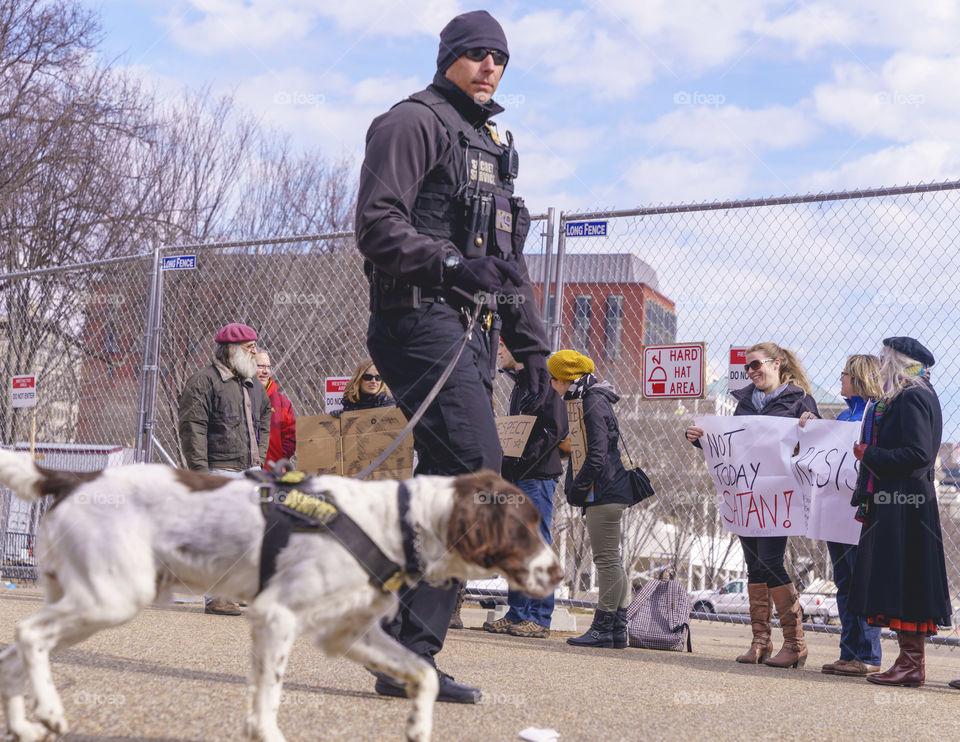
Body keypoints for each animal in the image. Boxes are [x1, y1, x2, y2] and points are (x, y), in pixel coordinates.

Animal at [0, 450, 564, 740]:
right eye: (526, 527)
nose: (559, 574)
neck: (397, 521)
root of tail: (74, 475)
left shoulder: (347, 634)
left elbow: (423, 674)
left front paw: (418, 726)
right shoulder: (276, 616)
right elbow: (269, 696)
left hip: (85, 598)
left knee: (14, 656)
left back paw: (25, 725)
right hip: (110, 597)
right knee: (28, 634)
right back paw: (49, 712)